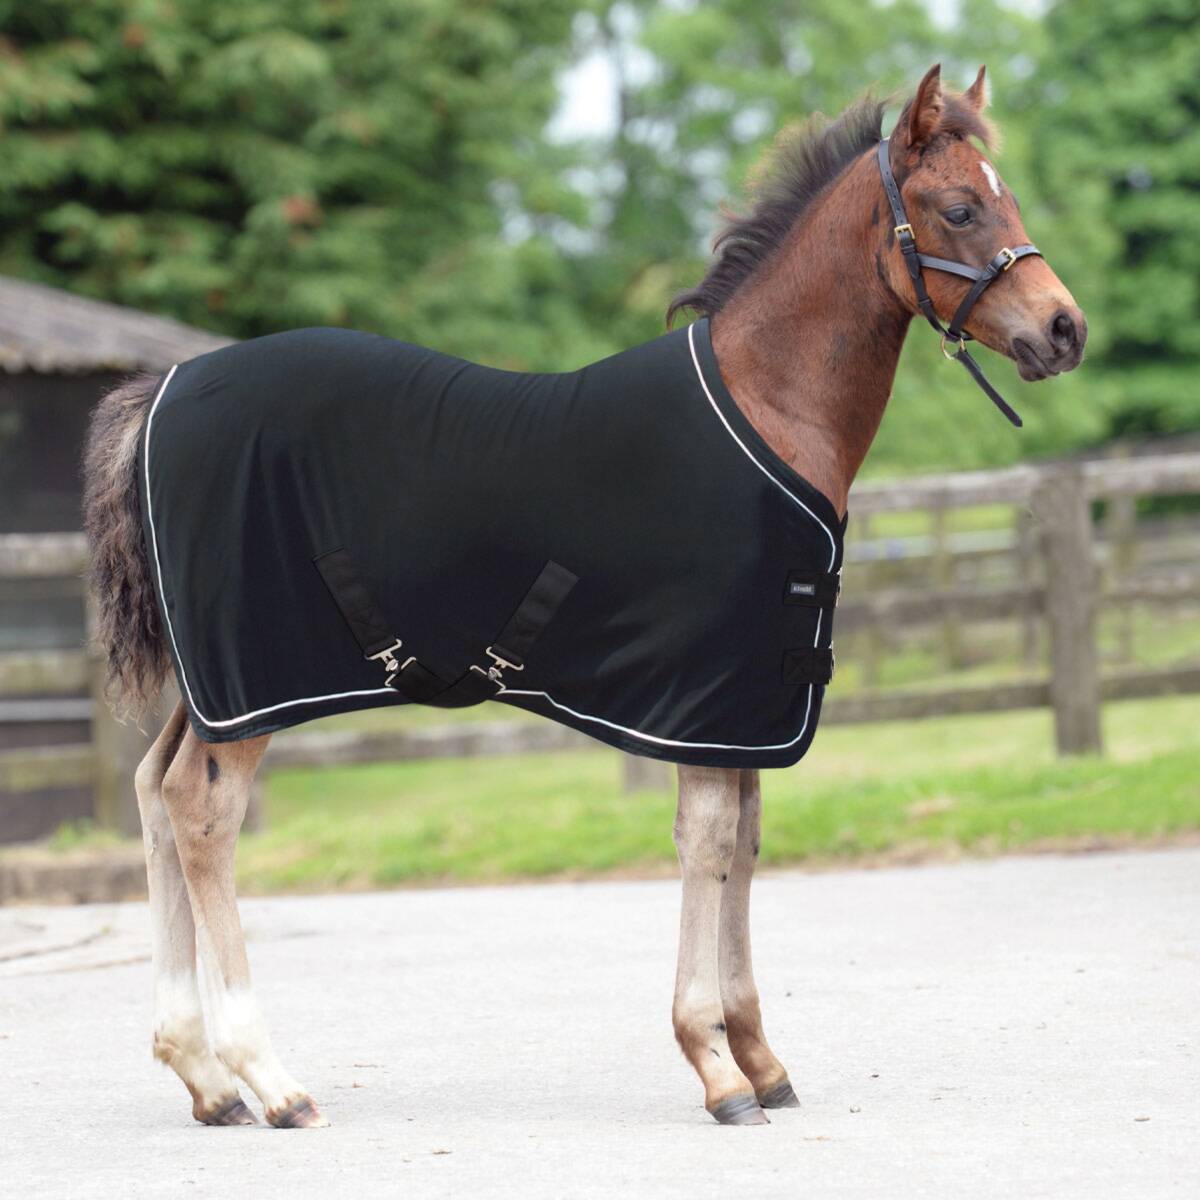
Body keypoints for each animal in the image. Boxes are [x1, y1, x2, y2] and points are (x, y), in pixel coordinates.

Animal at [82, 63, 1086, 1129]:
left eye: (1009, 198)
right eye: (960, 207)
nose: (1065, 329)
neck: (766, 405)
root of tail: (162, 392)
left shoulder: (745, 706)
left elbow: (744, 842)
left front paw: (760, 1057)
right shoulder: (705, 695)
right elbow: (707, 842)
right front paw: (715, 1065)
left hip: (213, 686)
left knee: (153, 792)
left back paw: (202, 1076)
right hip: (251, 683)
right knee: (201, 812)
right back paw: (269, 1080)